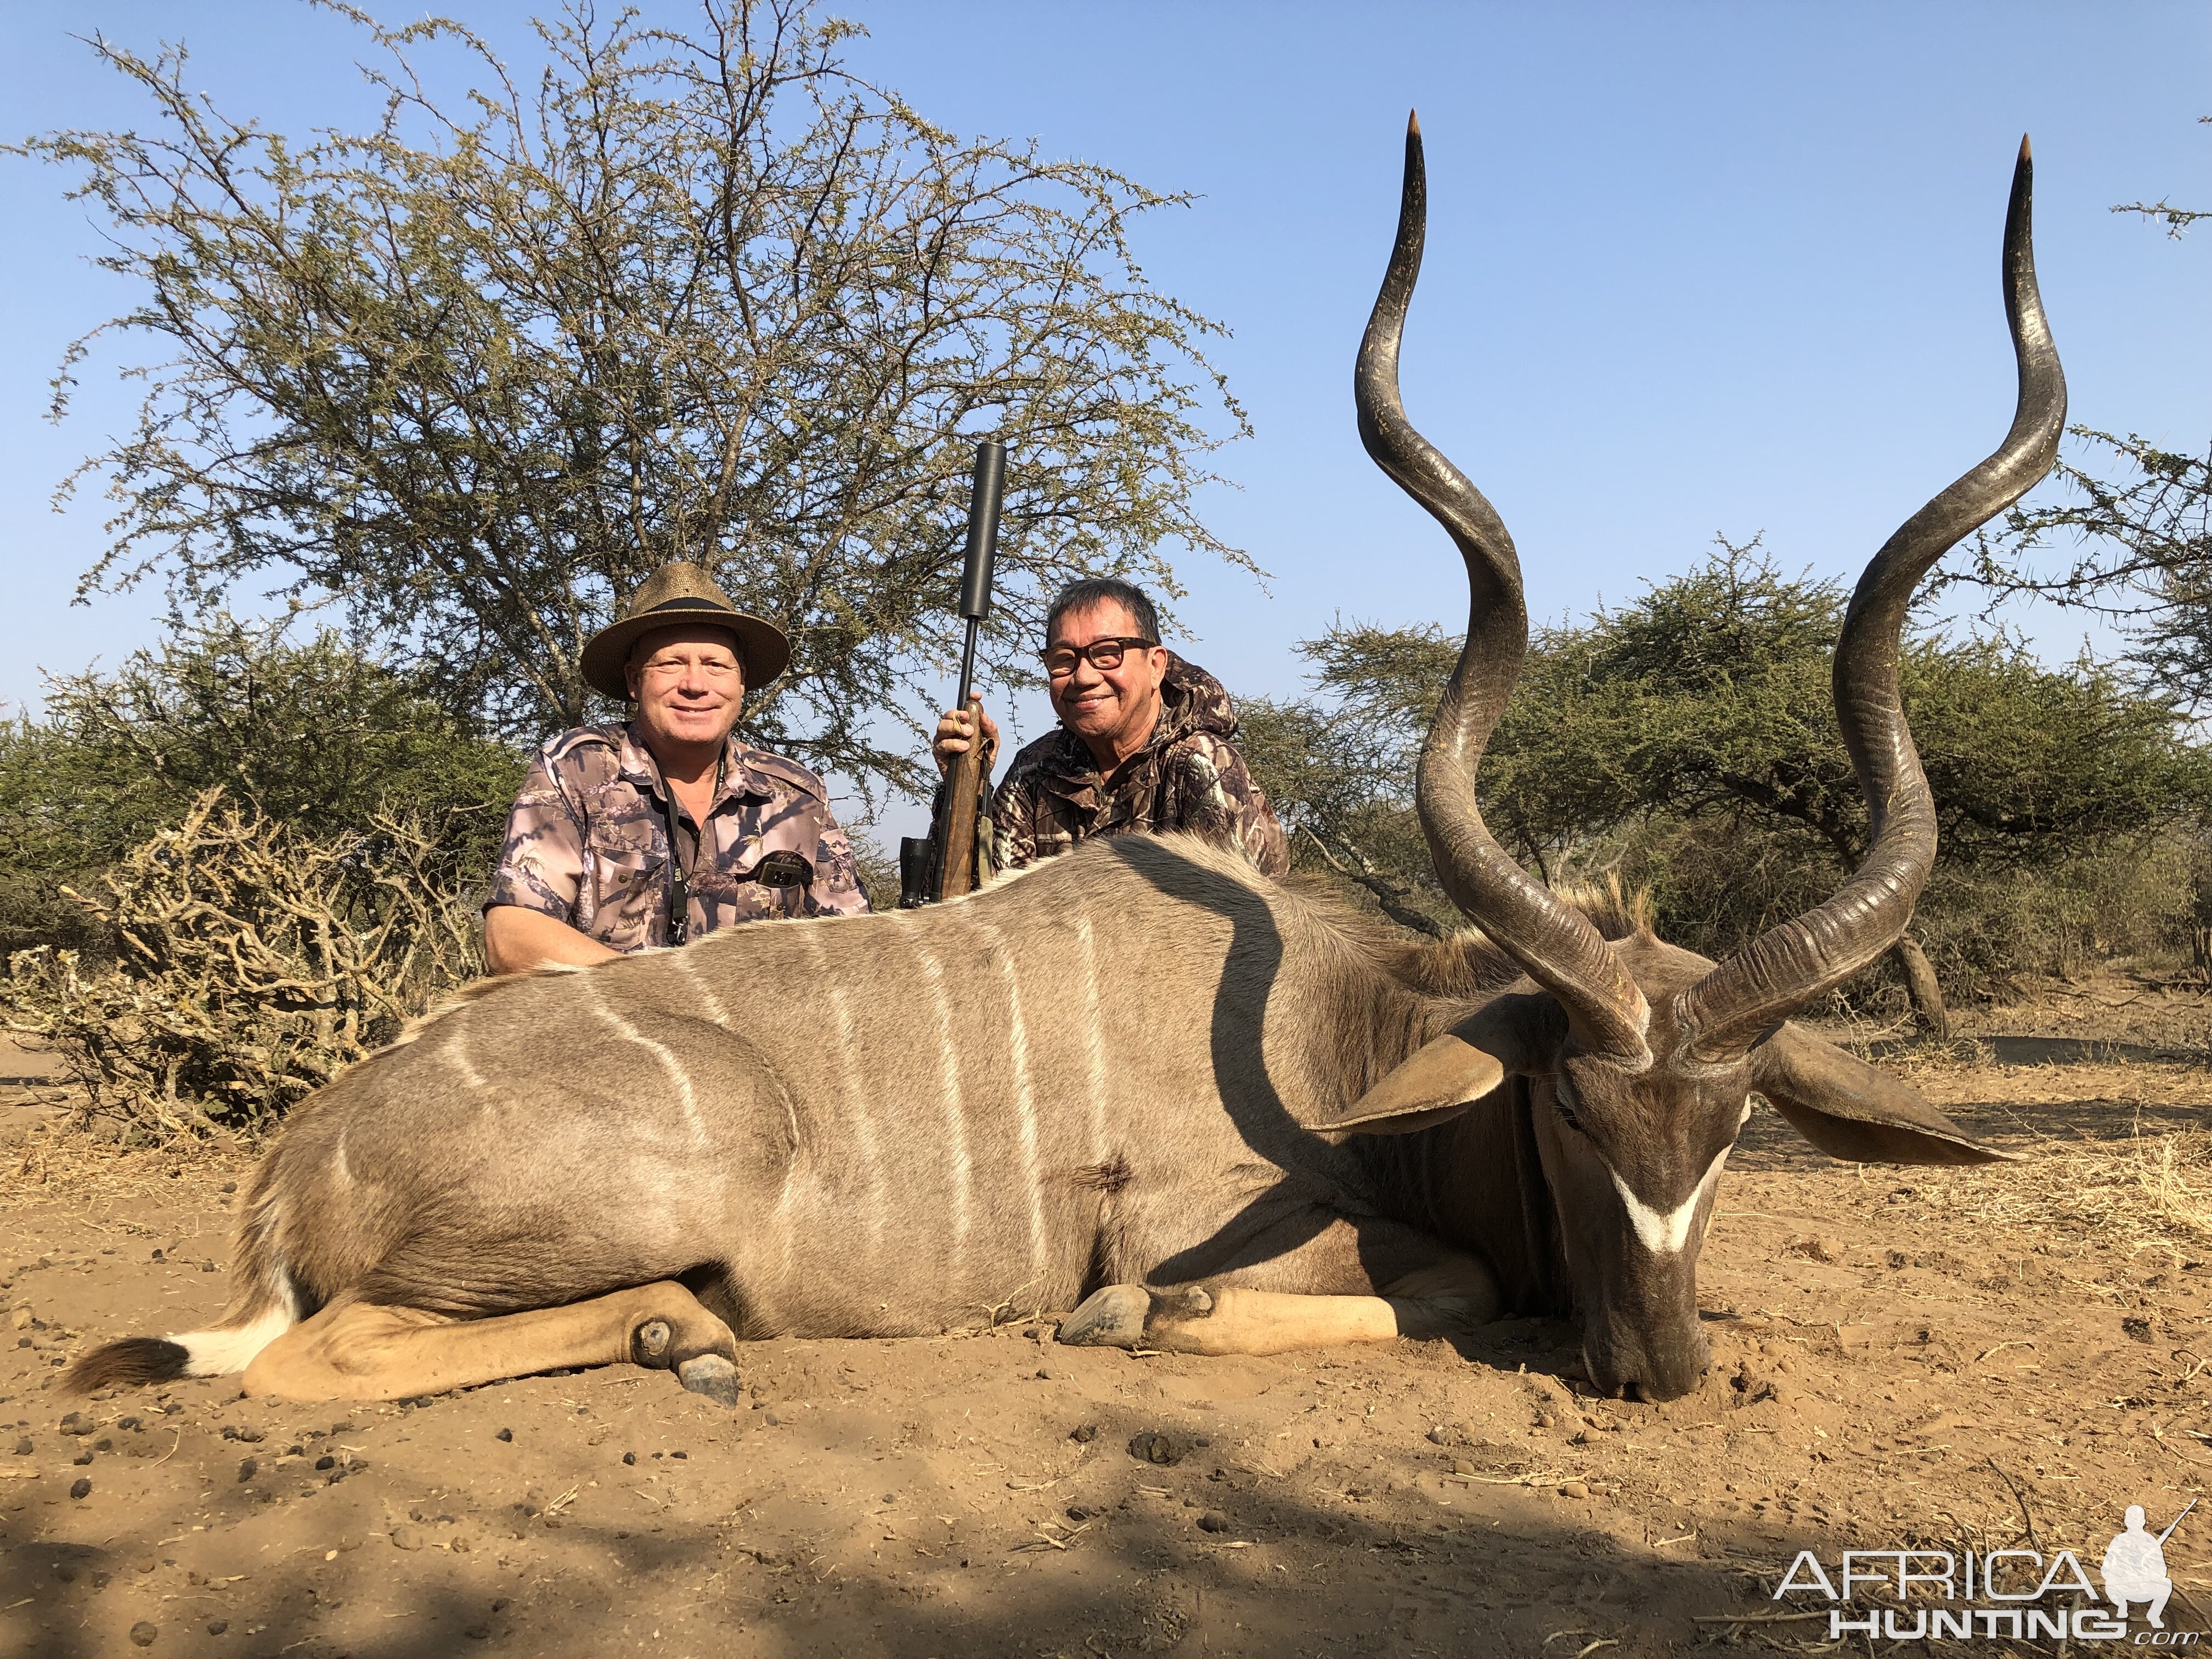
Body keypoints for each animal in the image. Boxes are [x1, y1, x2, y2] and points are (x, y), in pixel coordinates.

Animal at [74, 123, 2070, 1407]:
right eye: (1574, 1109)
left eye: (1730, 1124)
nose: (1661, 1372)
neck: (1350, 1032)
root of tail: (300, 1156)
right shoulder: (1213, 1237)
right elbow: (1406, 1291)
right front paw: (1130, 1333)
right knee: (313, 1359)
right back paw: (685, 1335)